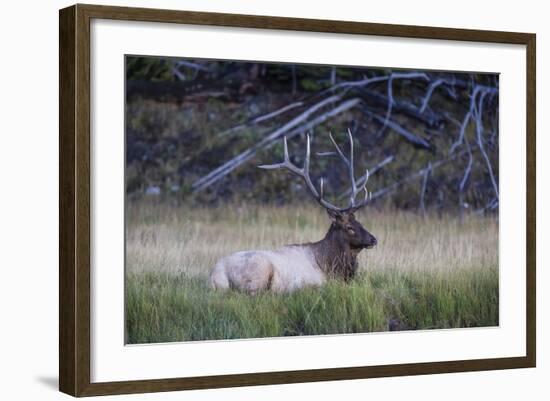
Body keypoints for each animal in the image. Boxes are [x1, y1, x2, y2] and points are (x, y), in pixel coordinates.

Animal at [209, 130, 378, 292]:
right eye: (349, 227)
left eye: (359, 222)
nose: (374, 239)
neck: (330, 265)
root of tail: (215, 275)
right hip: (259, 271)